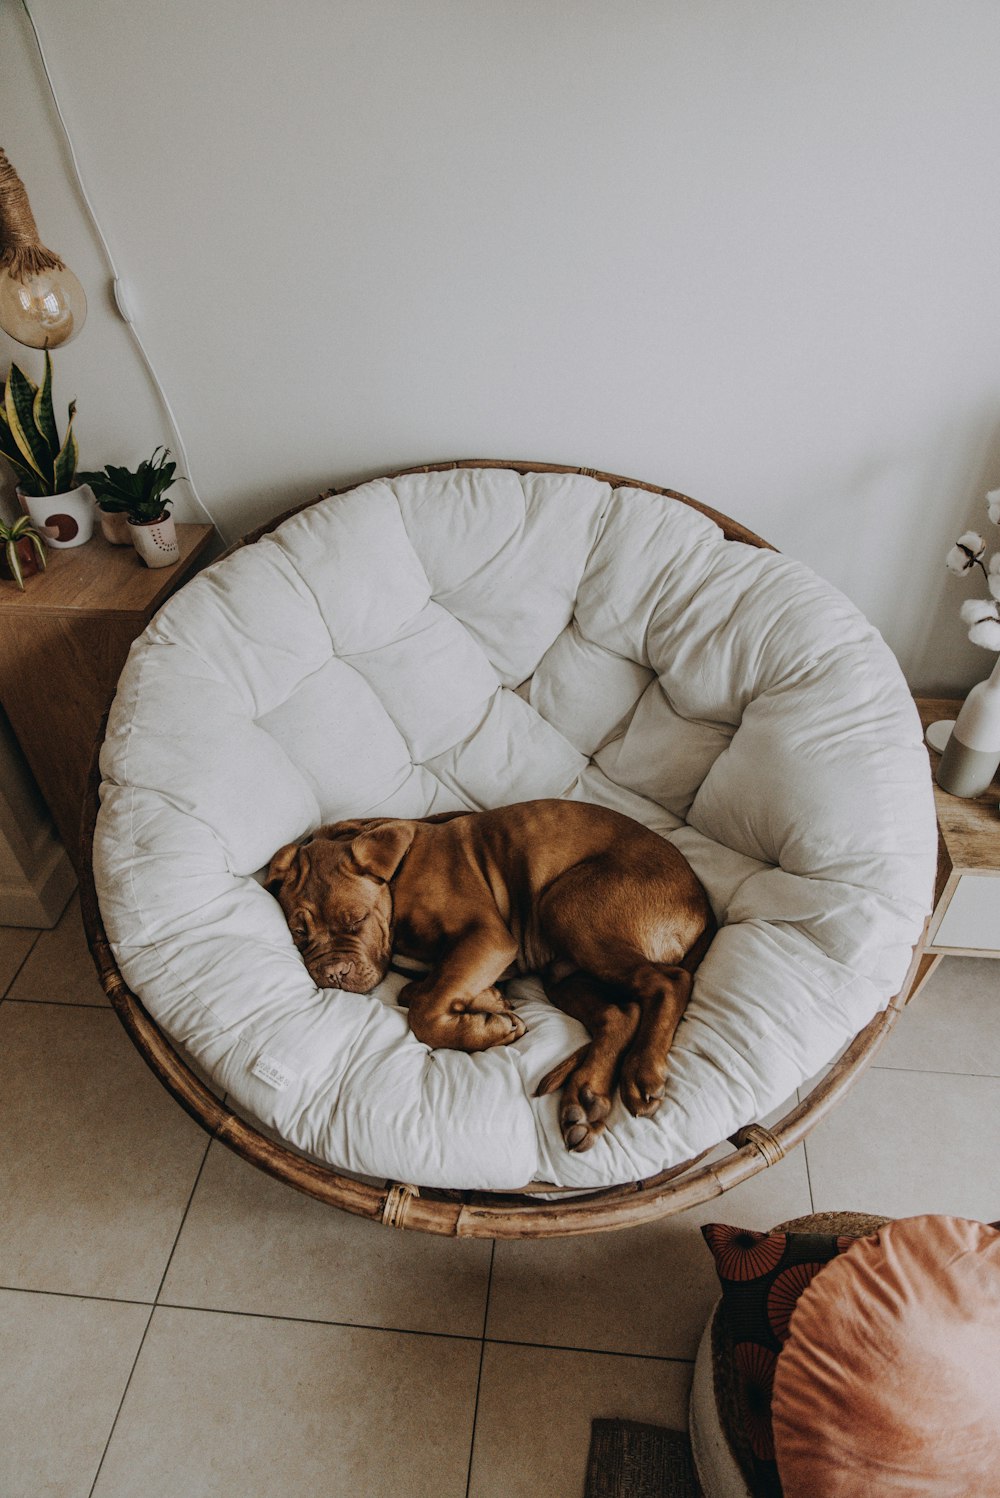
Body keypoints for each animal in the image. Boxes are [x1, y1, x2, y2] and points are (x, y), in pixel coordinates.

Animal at [267, 802, 709, 1150]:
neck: (395, 883)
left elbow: (425, 1007)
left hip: (567, 906)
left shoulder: (487, 938)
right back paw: (586, 1099)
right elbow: (424, 990)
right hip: (563, 973)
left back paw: (642, 1071)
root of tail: (701, 904)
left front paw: (486, 1026)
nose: (333, 972)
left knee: (668, 982)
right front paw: (489, 1003)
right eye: (299, 932)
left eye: (356, 920)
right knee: (620, 1014)